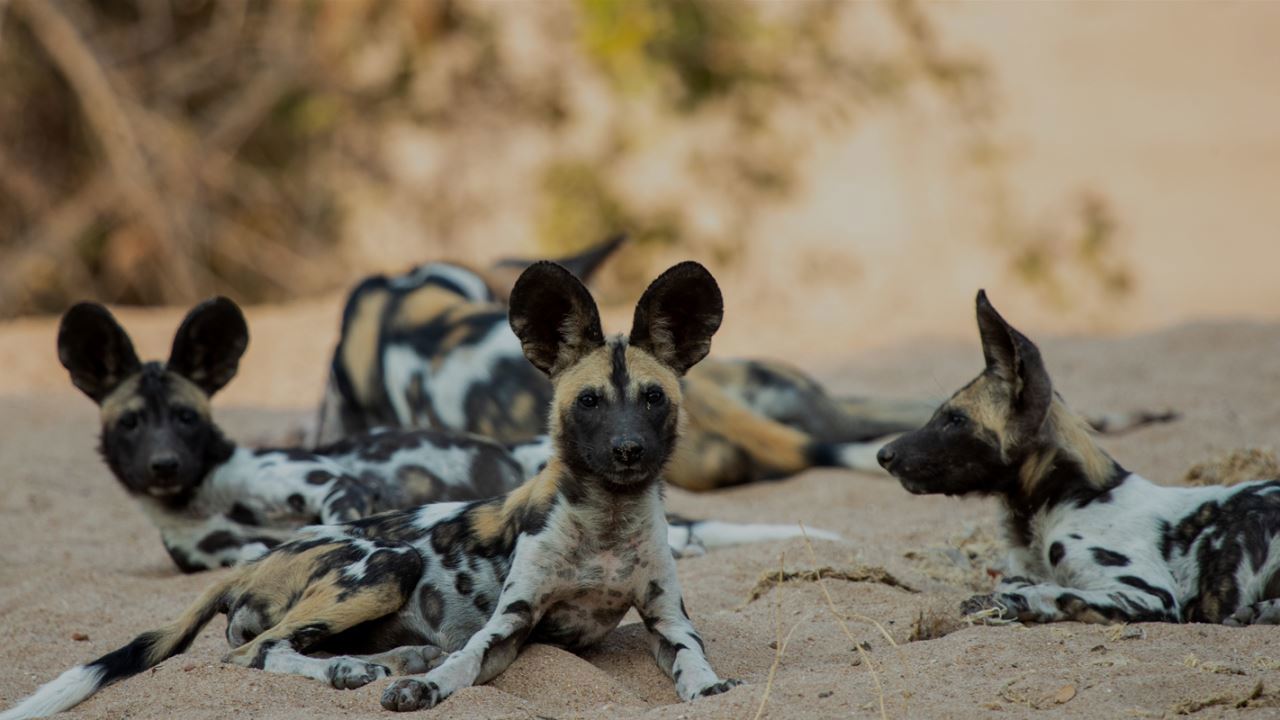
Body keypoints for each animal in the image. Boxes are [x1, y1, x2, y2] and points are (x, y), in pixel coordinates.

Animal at [2, 260, 742, 717]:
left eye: (652, 399)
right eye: (588, 402)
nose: (627, 451)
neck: (606, 528)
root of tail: (270, 553)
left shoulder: (669, 622)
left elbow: (693, 666)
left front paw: (710, 690)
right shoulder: (508, 625)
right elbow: (462, 668)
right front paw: (426, 690)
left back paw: (387, 659)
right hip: (386, 563)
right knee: (252, 651)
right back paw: (354, 673)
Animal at [875, 289, 1280, 622]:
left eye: (956, 419)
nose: (883, 454)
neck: (1061, 499)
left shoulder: (1150, 594)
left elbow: (1047, 591)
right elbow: (1018, 583)